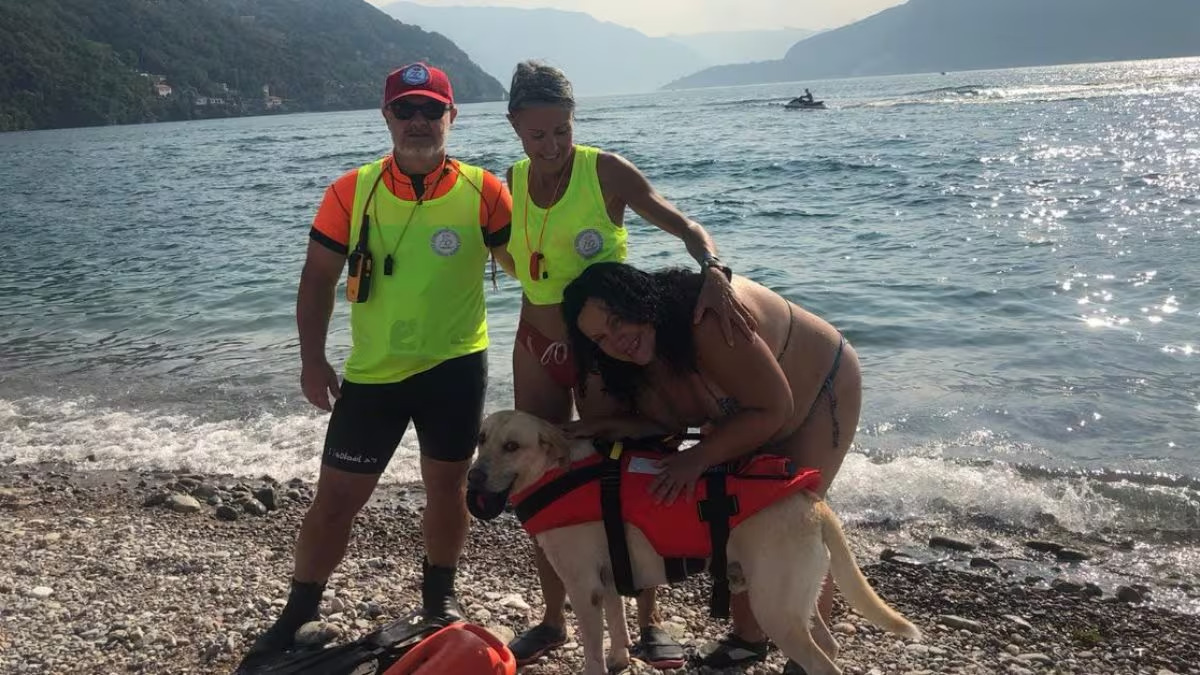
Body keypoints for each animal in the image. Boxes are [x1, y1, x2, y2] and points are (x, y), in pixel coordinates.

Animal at [468, 410, 916, 672]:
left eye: (512, 446)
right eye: (481, 438)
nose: (472, 476)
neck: (556, 470)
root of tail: (814, 502)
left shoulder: (583, 587)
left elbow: (594, 646)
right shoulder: (608, 579)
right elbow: (618, 626)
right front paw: (620, 659)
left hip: (774, 607)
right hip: (793, 603)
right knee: (829, 643)